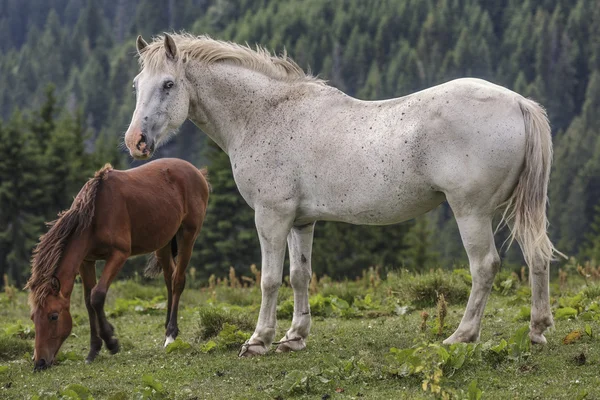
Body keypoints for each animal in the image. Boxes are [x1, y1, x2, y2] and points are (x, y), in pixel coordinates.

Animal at [124, 32, 560, 354]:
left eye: (168, 84)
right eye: (136, 85)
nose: (135, 142)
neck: (266, 114)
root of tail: (518, 102)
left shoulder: (271, 217)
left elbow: (270, 279)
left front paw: (259, 340)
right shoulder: (301, 221)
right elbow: (300, 275)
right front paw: (294, 337)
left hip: (471, 211)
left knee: (484, 266)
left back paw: (461, 336)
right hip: (514, 209)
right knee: (537, 256)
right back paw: (537, 330)